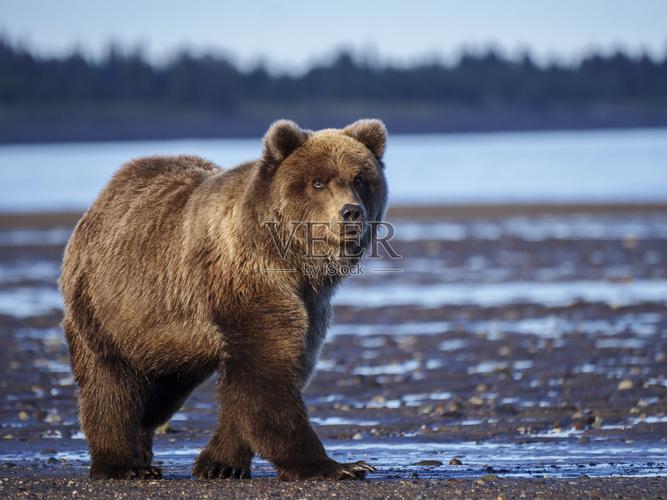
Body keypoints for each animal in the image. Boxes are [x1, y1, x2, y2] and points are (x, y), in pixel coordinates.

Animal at [59, 119, 388, 481]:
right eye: (318, 181)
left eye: (359, 179)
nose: (351, 212)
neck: (295, 262)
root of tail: (99, 204)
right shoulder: (248, 282)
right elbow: (265, 373)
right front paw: (338, 466)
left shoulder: (311, 305)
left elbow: (268, 375)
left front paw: (220, 464)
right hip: (107, 309)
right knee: (110, 384)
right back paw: (122, 465)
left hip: (167, 337)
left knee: (162, 392)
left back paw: (143, 449)